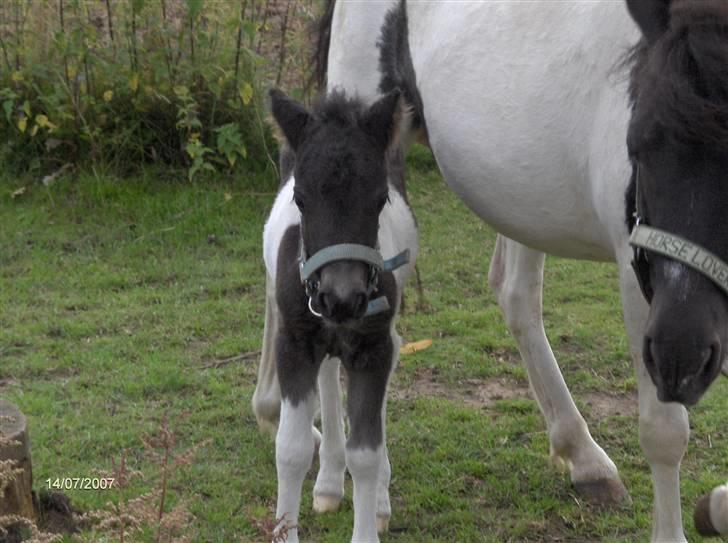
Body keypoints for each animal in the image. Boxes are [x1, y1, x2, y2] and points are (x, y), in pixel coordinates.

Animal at [255, 90, 416, 543]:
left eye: (380, 199)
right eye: (300, 198)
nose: (342, 299)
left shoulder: (373, 346)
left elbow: (366, 450)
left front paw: (372, 508)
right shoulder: (294, 343)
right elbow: (290, 449)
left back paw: (378, 499)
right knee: (327, 377)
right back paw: (328, 481)